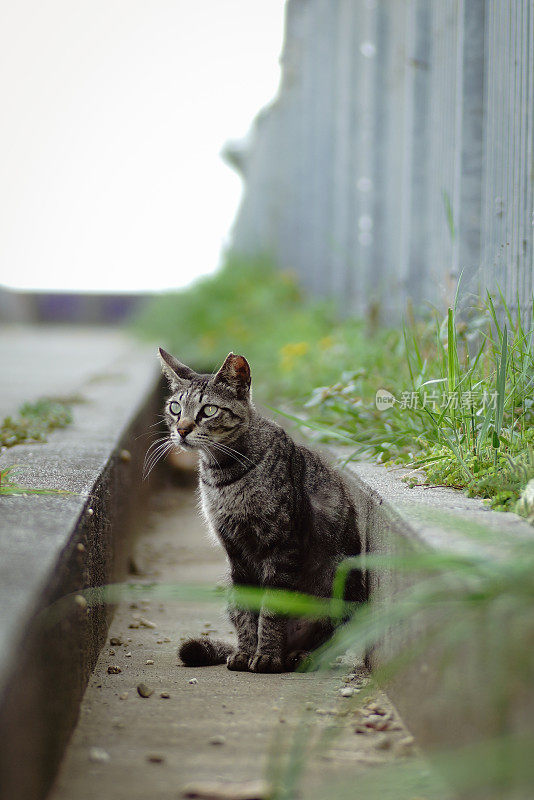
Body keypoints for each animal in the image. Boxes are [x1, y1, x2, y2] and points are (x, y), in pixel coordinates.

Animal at [157, 346, 366, 672]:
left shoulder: (282, 545)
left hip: (343, 581)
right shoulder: (235, 551)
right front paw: (246, 652)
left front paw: (266, 655)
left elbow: (271, 608)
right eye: (175, 408)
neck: (223, 476)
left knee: (329, 639)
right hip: (228, 584)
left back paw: (299, 656)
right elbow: (248, 611)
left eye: (209, 410)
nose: (181, 430)